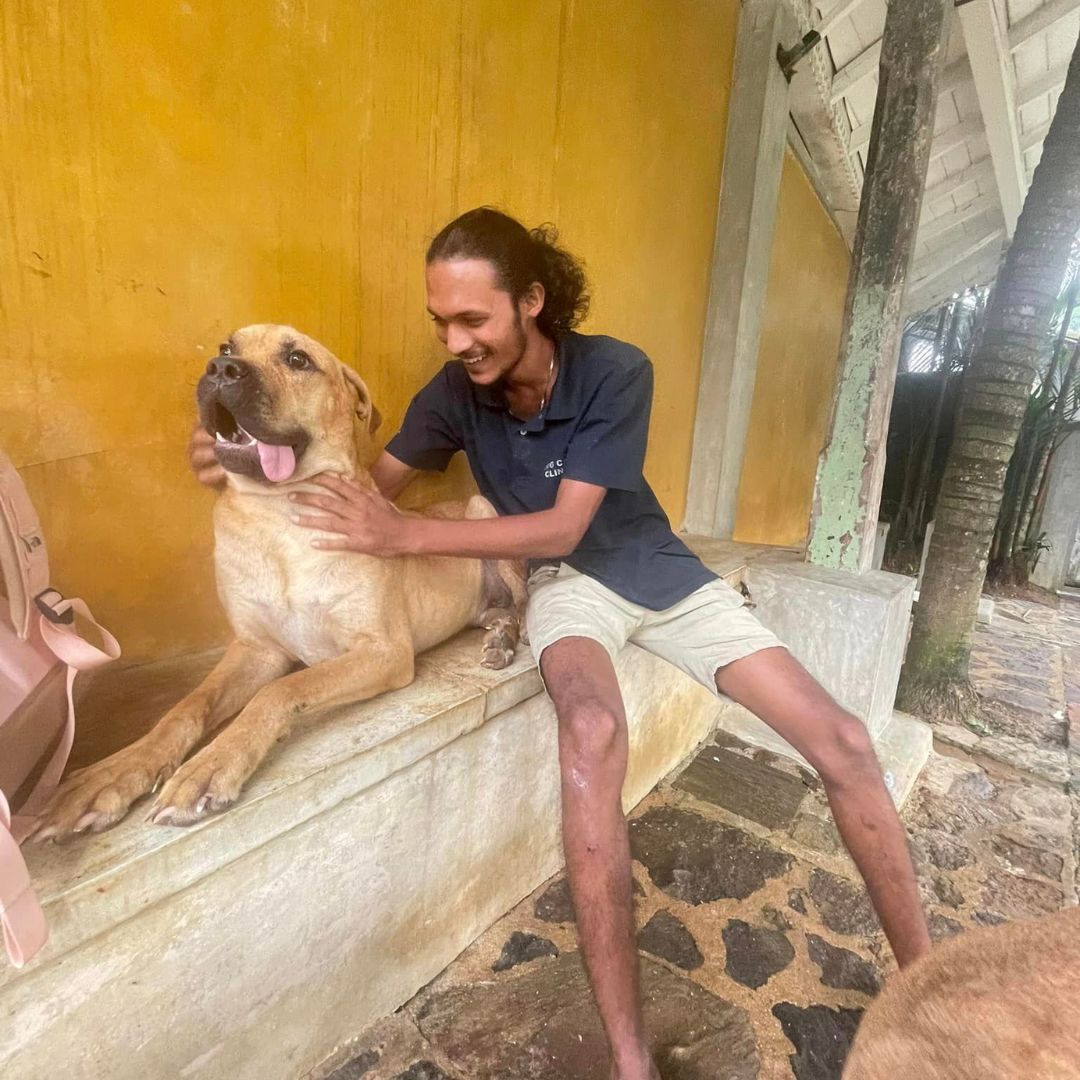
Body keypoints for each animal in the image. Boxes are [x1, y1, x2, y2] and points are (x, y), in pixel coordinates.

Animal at [30, 321, 527, 833]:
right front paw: (117, 771)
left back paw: (505, 638)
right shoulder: (256, 648)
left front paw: (213, 764)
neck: (280, 516)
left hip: (482, 511)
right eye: (226, 347)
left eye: (297, 360)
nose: (221, 369)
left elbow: (280, 690)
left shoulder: (383, 650)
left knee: (520, 601)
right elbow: (186, 706)